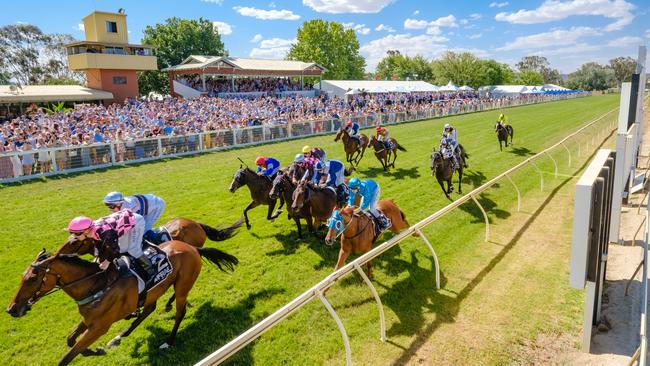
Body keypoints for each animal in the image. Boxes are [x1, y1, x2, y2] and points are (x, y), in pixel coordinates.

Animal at [5, 243, 238, 366]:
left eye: (33, 278)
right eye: (23, 276)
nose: (11, 309)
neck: (96, 285)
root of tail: (193, 247)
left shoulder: (100, 326)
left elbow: (67, 355)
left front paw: (93, 350)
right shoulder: (89, 320)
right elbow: (71, 340)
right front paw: (96, 351)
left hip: (182, 286)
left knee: (180, 312)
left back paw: (168, 342)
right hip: (155, 291)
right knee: (148, 309)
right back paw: (119, 336)